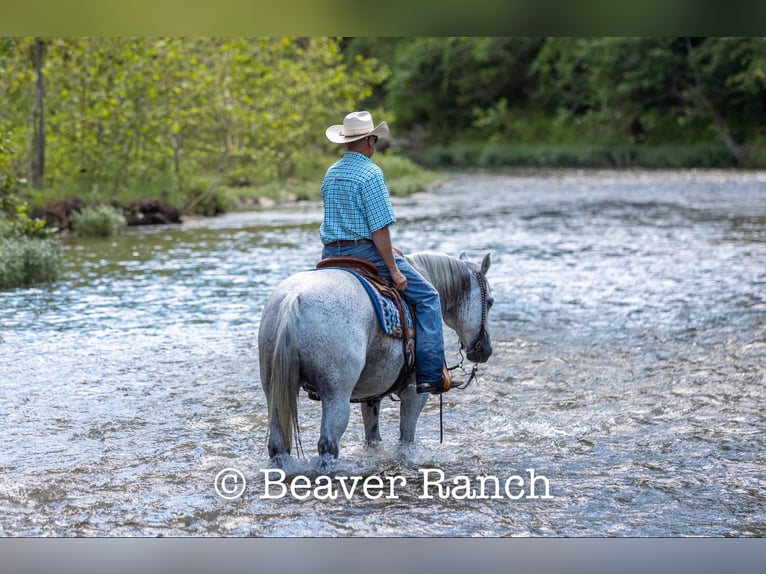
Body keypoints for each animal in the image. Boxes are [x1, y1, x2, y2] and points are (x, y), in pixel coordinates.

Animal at [258, 251, 494, 461]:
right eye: (490, 301)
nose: (485, 350)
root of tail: (293, 299)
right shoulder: (414, 393)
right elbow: (406, 439)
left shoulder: (371, 395)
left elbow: (372, 438)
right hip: (335, 394)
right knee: (328, 444)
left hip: (275, 389)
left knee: (278, 444)